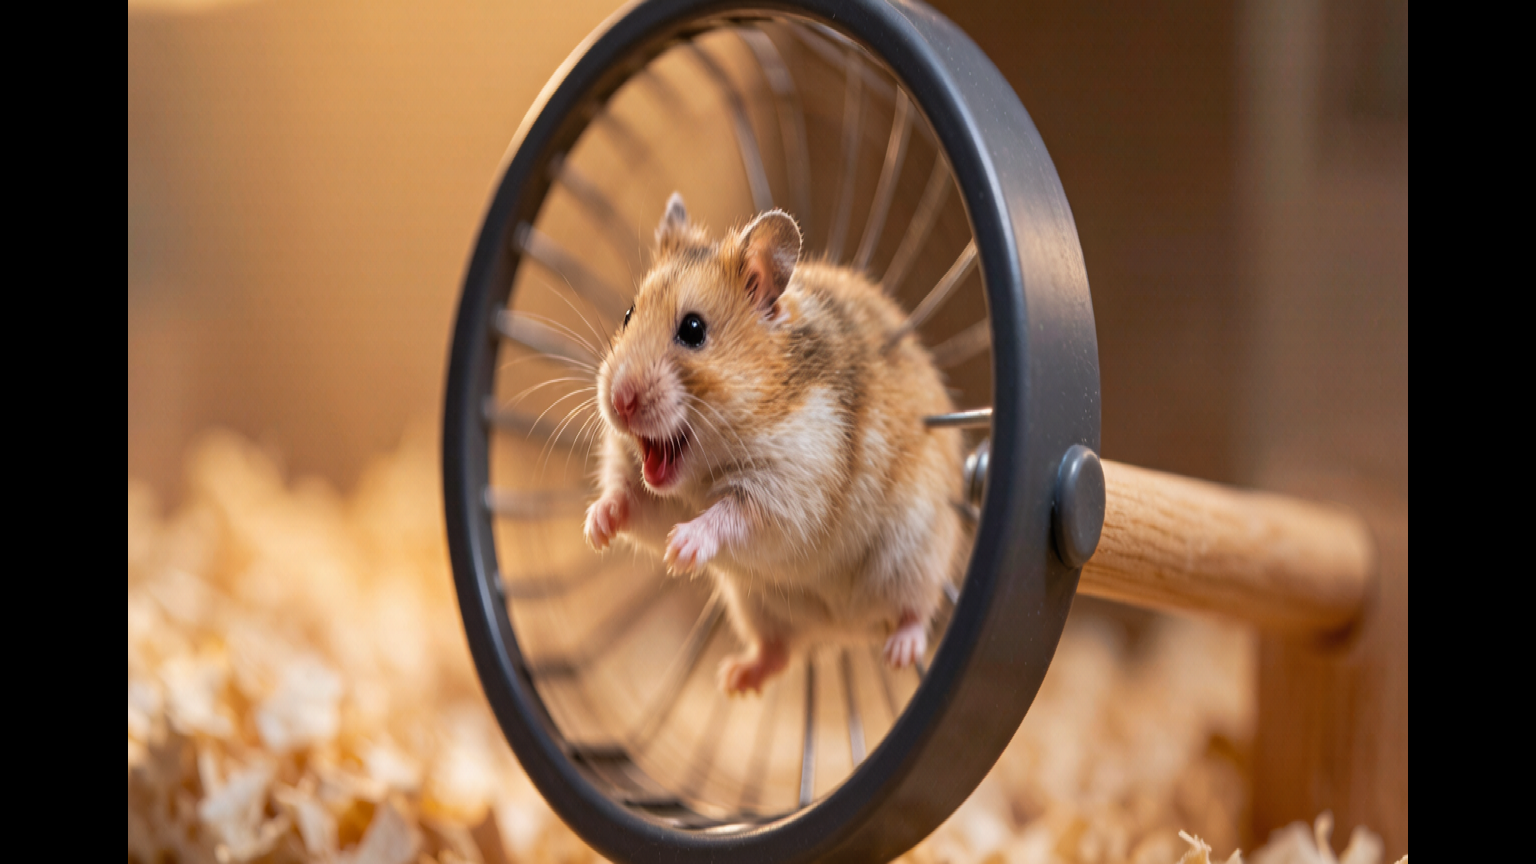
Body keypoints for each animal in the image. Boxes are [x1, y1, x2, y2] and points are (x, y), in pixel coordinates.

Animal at [584, 192, 964, 696]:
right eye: (628, 315)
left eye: (692, 330)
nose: (618, 401)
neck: (702, 473)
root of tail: (846, 636)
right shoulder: (656, 498)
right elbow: (629, 499)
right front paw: (595, 529)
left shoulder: (789, 489)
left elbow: (732, 514)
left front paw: (680, 550)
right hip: (754, 606)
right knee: (779, 652)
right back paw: (735, 680)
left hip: (916, 553)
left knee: (916, 609)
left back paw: (900, 653)